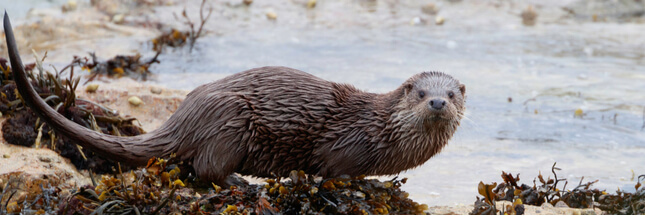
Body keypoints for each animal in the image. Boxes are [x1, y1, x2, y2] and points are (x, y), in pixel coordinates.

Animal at [1, 13, 462, 186]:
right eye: (422, 92)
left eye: (453, 93)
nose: (438, 103)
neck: (379, 130)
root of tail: (185, 116)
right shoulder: (343, 146)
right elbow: (333, 172)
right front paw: (362, 186)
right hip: (231, 121)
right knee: (206, 169)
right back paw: (238, 182)